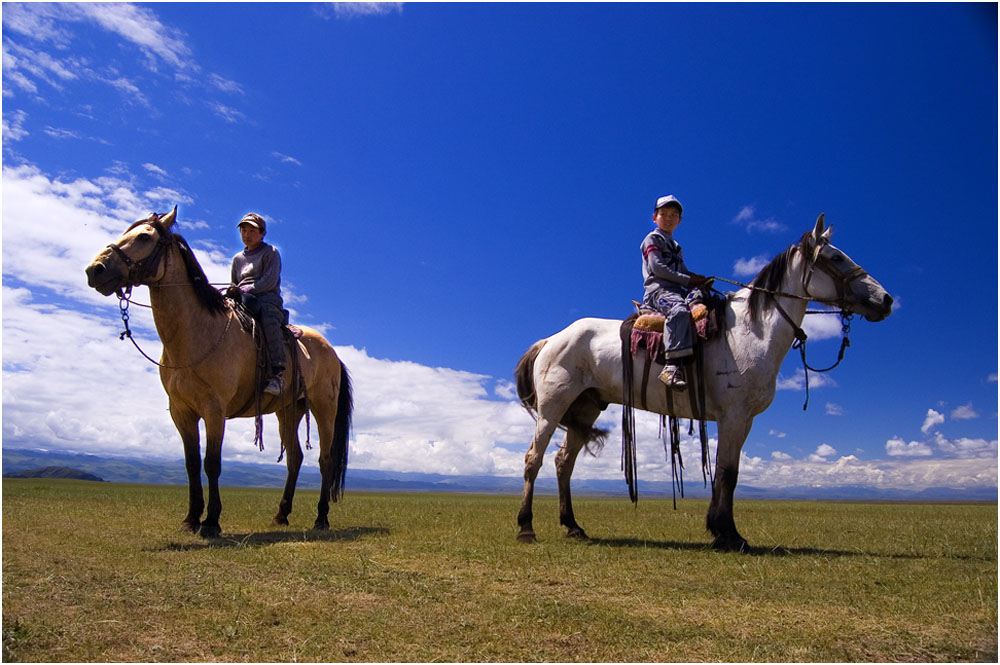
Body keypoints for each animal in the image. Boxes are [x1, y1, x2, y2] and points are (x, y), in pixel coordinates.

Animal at [86, 209, 352, 540]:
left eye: (144, 237)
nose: (95, 270)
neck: (197, 333)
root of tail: (332, 353)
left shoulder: (214, 409)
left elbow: (212, 463)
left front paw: (211, 522)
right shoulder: (182, 411)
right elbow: (191, 463)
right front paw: (190, 519)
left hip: (323, 408)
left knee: (325, 459)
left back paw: (321, 518)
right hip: (288, 410)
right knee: (294, 458)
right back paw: (281, 515)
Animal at [516, 214, 892, 548]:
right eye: (836, 257)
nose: (886, 300)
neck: (751, 332)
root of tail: (550, 340)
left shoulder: (743, 420)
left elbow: (730, 473)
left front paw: (721, 530)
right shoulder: (734, 416)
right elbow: (727, 473)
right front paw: (728, 534)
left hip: (584, 411)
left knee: (563, 463)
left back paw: (573, 526)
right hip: (553, 408)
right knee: (534, 458)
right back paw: (525, 528)